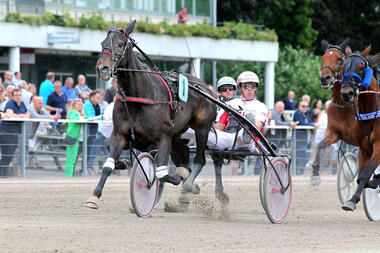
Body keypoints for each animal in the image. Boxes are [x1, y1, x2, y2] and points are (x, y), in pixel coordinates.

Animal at [85, 21, 218, 208]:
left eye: (120, 44)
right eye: (102, 43)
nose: (102, 68)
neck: (139, 96)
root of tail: (206, 87)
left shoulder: (163, 136)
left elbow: (162, 174)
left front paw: (176, 177)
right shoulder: (119, 134)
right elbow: (108, 164)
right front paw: (95, 195)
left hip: (202, 128)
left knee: (199, 160)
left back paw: (189, 183)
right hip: (177, 134)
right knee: (184, 153)